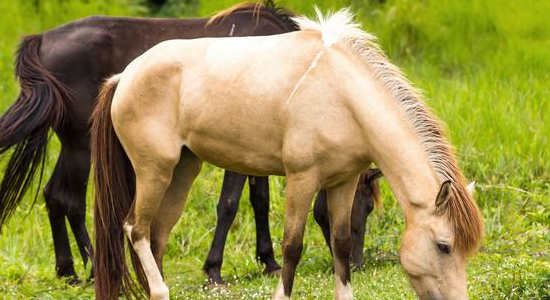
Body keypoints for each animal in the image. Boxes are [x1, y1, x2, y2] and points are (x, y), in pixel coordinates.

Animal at [92, 7, 486, 300]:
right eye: (444, 246)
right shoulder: (302, 179)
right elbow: (292, 248)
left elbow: (341, 246)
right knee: (136, 229)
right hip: (154, 171)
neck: (343, 95)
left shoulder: (342, 183)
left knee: (157, 235)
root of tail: (124, 76)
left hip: (183, 171)